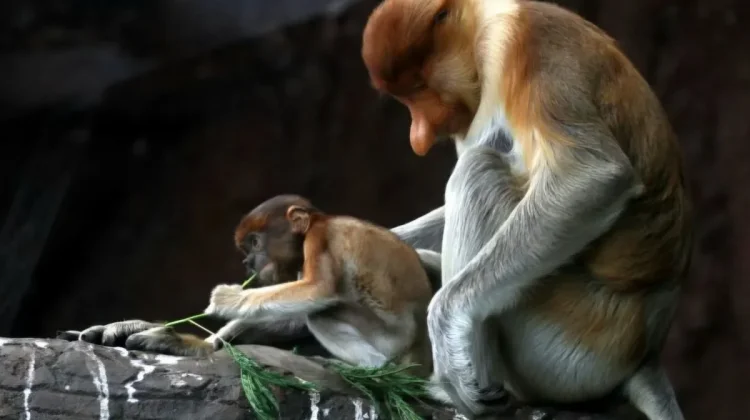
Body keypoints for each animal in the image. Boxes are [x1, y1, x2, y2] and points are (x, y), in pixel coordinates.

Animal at [58, 195, 437, 378]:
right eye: (246, 249)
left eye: (254, 243)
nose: (247, 264)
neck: (320, 220)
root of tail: (420, 351)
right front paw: (185, 341)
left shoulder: (320, 240)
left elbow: (318, 290)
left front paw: (223, 299)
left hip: (389, 338)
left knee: (322, 313)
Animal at [361, 1, 693, 419]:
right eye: (405, 97)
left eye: (418, 88)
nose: (417, 137)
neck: (482, 29)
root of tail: (645, 355)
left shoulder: (529, 49)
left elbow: (593, 174)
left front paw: (446, 322)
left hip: (571, 344)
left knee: (480, 172)